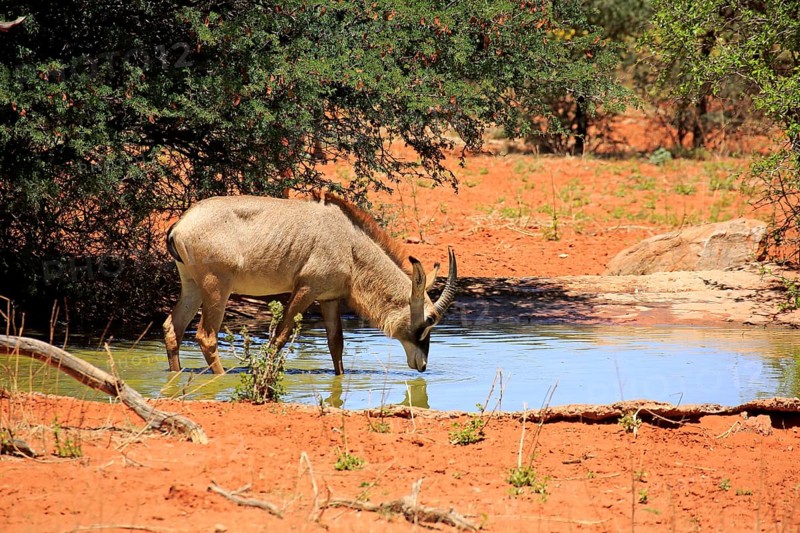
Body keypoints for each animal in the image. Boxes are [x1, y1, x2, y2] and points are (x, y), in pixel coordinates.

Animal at [163, 194, 457, 375]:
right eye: (429, 320)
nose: (422, 365)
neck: (349, 242)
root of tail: (181, 224)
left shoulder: (329, 298)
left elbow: (336, 343)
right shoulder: (306, 290)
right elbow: (279, 337)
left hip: (192, 286)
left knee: (172, 328)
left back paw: (175, 376)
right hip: (217, 287)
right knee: (206, 336)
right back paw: (222, 377)